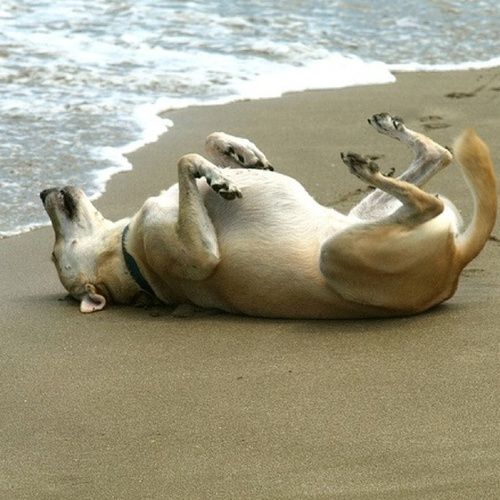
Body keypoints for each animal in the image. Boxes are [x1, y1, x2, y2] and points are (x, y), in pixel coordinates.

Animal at [42, 114, 496, 318]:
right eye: (53, 256)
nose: (42, 192)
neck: (126, 251)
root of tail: (457, 261)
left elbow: (206, 144)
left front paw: (239, 154)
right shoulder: (197, 256)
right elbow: (185, 159)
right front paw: (217, 177)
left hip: (359, 217)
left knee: (439, 157)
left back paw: (390, 133)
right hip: (341, 250)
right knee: (429, 199)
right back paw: (365, 167)